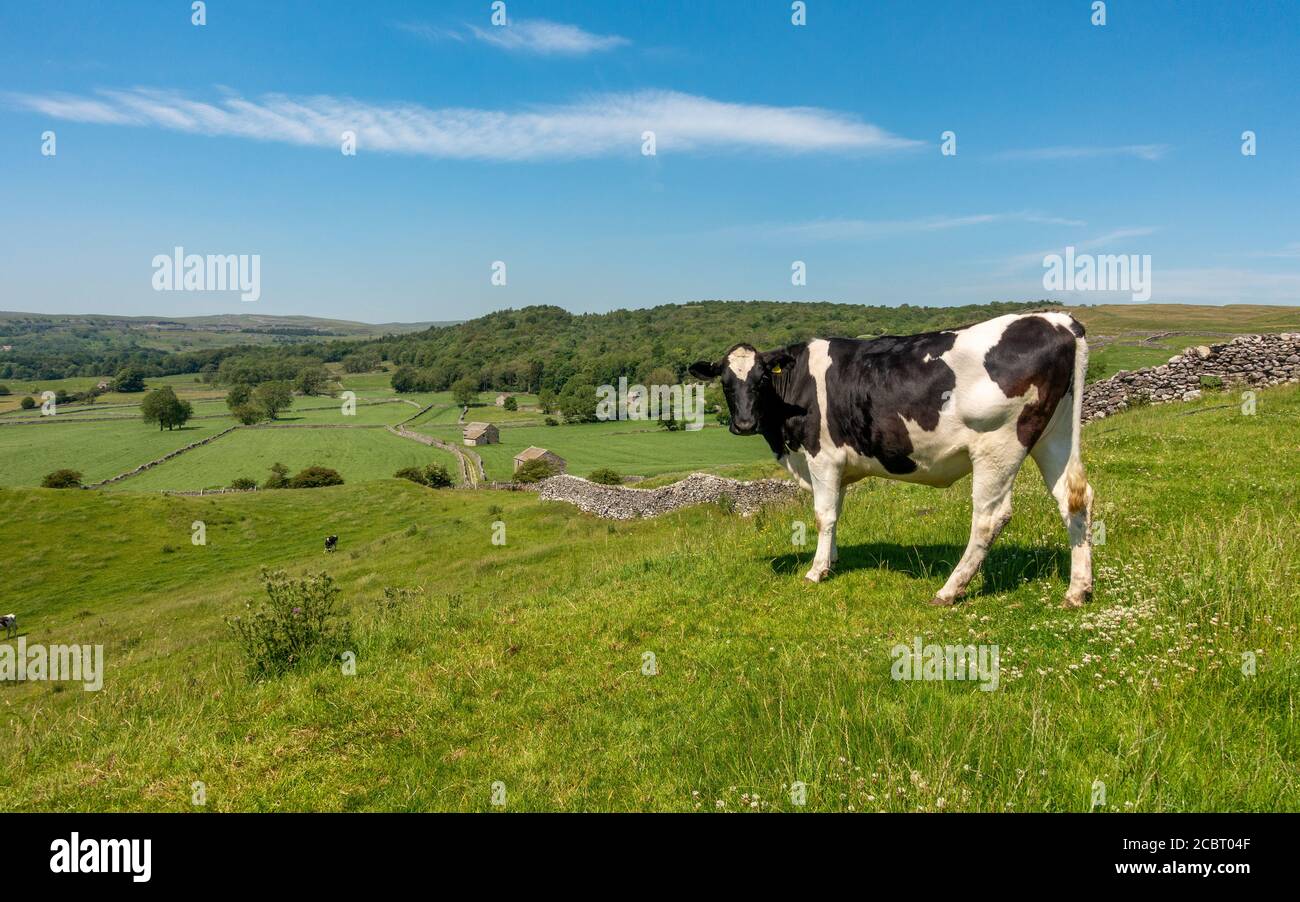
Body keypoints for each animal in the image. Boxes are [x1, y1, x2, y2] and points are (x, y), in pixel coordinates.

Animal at [691, 314, 1097, 610]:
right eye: (725, 383)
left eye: (761, 380)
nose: (744, 424)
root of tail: (1058, 320)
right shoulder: (838, 465)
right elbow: (836, 512)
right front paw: (832, 560)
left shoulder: (822, 456)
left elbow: (824, 515)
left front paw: (816, 570)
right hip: (1054, 436)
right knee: (1074, 499)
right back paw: (1078, 590)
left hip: (998, 445)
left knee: (989, 517)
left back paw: (950, 589)